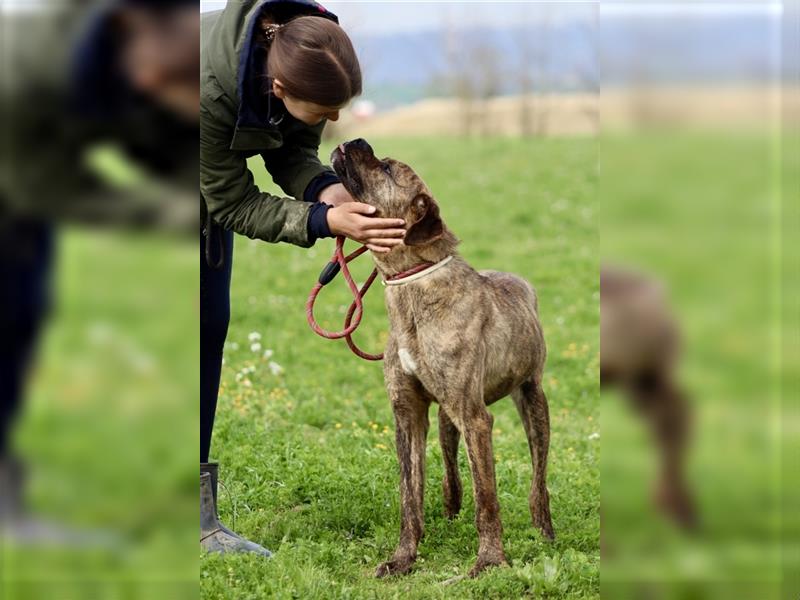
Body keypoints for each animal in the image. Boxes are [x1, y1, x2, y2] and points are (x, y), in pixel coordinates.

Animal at [332, 138, 556, 580]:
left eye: (386, 167)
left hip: (533, 401)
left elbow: (487, 498)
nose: (356, 140)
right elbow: (409, 495)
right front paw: (403, 558)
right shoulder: (408, 413)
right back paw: (451, 510)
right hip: (445, 420)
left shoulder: (475, 417)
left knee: (538, 478)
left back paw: (544, 528)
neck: (412, 286)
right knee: (452, 469)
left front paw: (490, 561)